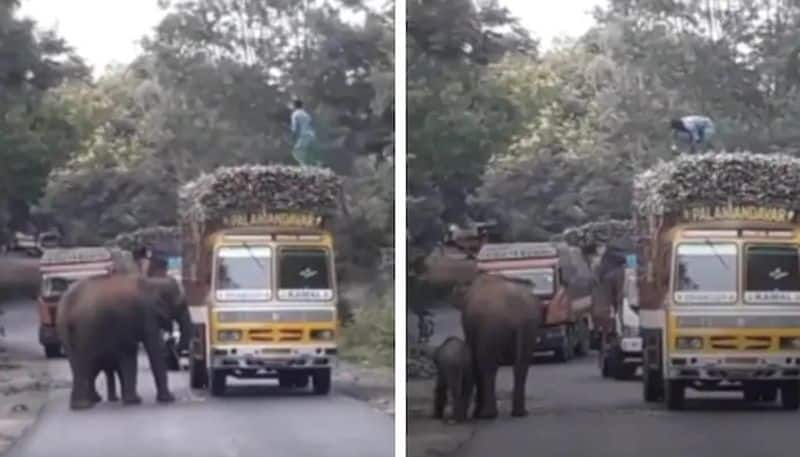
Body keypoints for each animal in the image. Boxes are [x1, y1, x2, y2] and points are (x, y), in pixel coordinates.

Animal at [55, 274, 191, 410]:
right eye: (181, 305)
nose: (172, 340)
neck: (153, 282)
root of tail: (65, 309)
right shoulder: (147, 314)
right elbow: (152, 349)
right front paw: (168, 399)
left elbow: (129, 352)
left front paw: (133, 400)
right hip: (86, 330)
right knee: (86, 363)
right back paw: (85, 404)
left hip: (67, 333)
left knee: (79, 364)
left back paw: (83, 404)